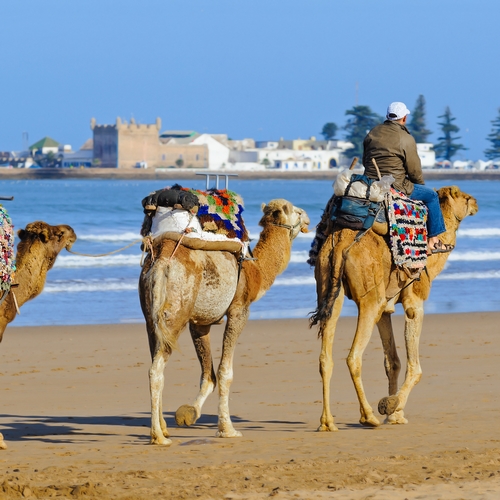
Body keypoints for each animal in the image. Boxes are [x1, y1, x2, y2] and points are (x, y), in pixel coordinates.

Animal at [138, 197, 308, 444]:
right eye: (297, 211)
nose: (308, 219)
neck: (255, 270)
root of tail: (161, 262)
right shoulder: (239, 309)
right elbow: (225, 373)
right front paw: (227, 429)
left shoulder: (200, 321)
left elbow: (208, 375)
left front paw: (189, 413)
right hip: (176, 312)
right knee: (156, 370)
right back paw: (158, 437)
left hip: (151, 316)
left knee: (155, 361)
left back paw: (163, 429)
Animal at [310, 187, 478, 430]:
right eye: (464, 197)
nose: (476, 202)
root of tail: (341, 243)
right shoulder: (414, 302)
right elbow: (415, 367)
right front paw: (390, 407)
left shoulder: (385, 309)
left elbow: (393, 362)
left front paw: (394, 415)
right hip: (369, 300)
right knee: (353, 357)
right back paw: (368, 416)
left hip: (329, 286)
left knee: (325, 358)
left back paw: (327, 423)